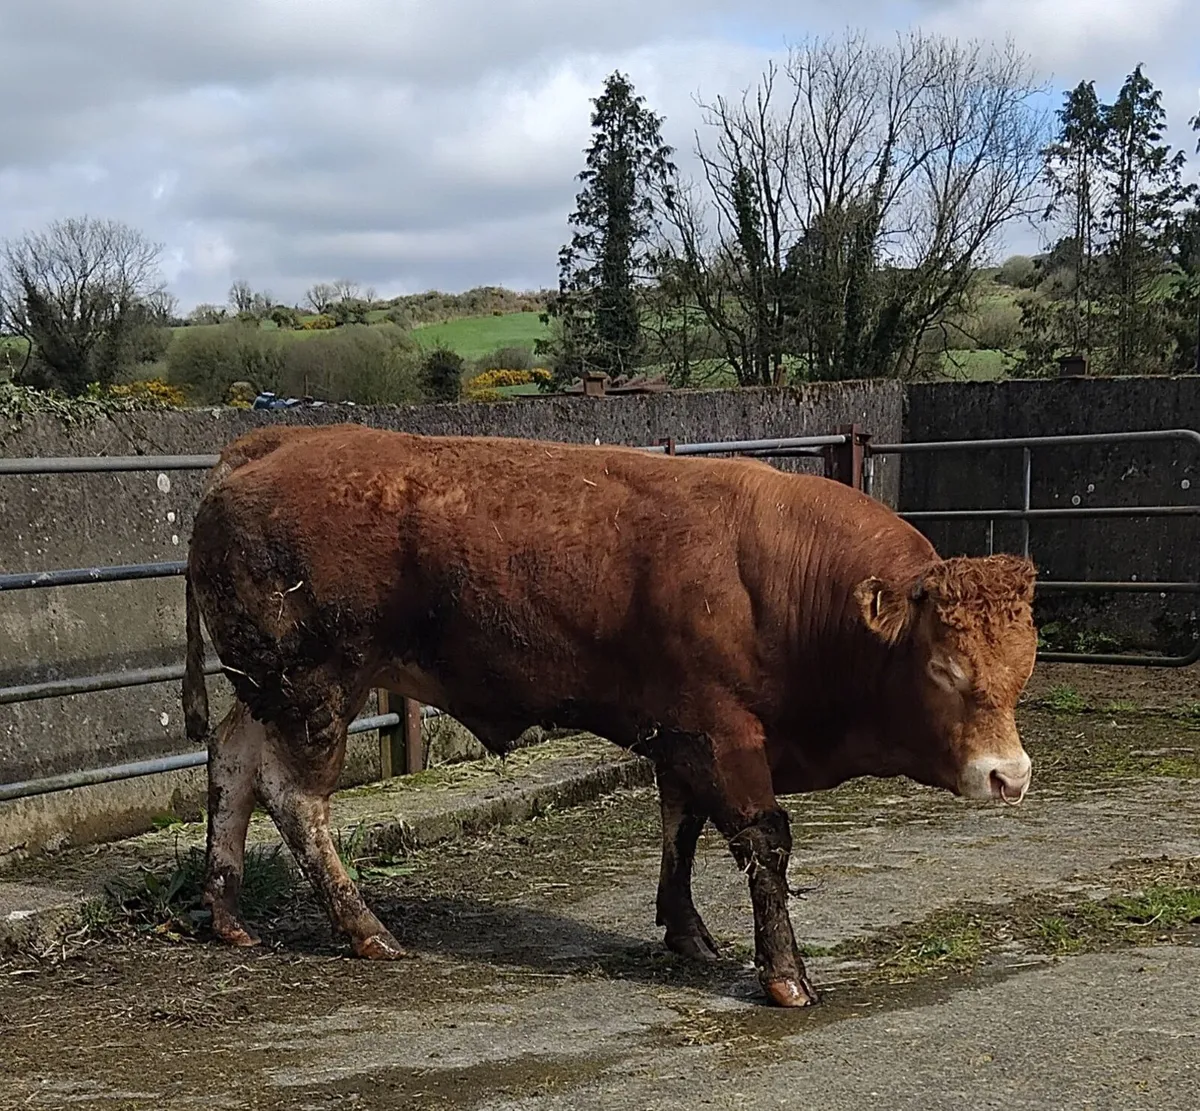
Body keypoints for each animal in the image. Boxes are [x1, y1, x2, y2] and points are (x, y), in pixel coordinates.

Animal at [182, 423, 1038, 1008]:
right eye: (943, 668)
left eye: (1023, 665)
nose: (1011, 775)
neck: (775, 582)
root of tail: (269, 443)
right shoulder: (723, 735)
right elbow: (764, 843)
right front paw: (786, 976)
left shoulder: (680, 735)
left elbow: (680, 830)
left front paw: (686, 930)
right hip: (317, 689)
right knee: (297, 799)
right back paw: (365, 928)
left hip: (267, 691)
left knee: (232, 760)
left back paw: (226, 909)